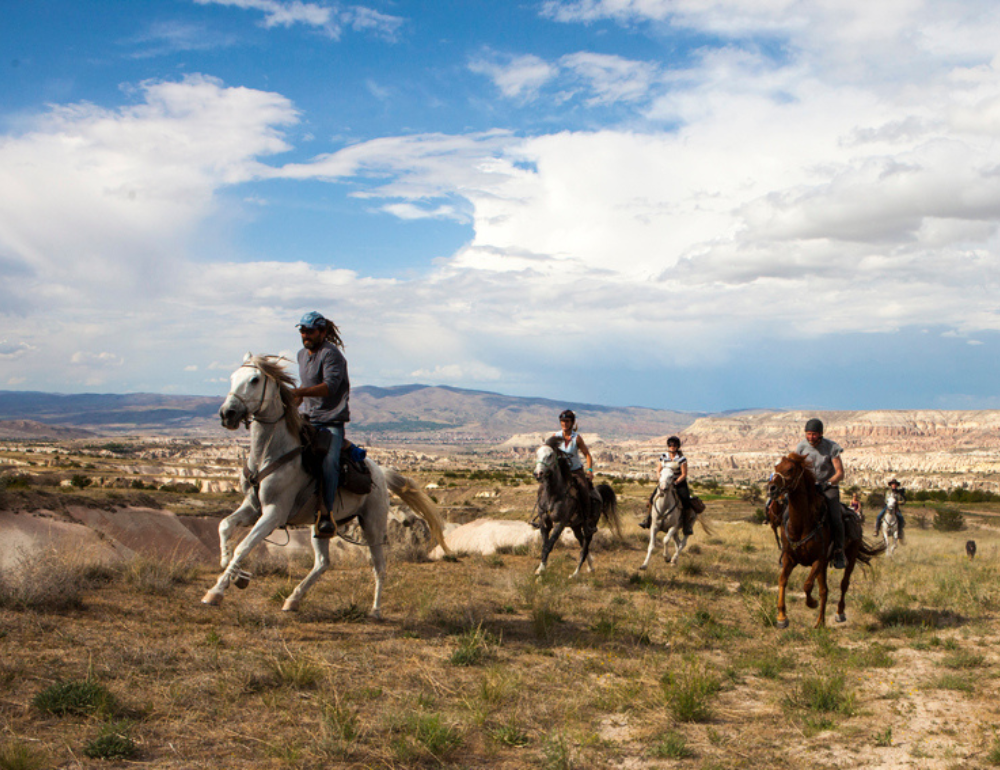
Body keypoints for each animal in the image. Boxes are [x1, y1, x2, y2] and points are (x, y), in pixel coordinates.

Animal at [203, 352, 450, 616]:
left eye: (255, 379)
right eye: (232, 377)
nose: (227, 413)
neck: (268, 454)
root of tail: (381, 472)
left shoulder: (274, 513)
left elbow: (244, 546)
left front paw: (216, 591)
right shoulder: (252, 508)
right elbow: (225, 526)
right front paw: (232, 570)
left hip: (373, 525)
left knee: (379, 566)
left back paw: (375, 610)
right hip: (320, 525)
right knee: (323, 563)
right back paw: (293, 599)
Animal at [532, 440, 616, 572]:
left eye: (550, 455)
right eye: (536, 454)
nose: (538, 473)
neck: (552, 495)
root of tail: (598, 491)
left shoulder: (560, 523)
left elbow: (549, 544)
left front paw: (540, 571)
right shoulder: (544, 522)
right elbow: (545, 545)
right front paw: (541, 568)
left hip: (591, 524)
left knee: (585, 545)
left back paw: (576, 573)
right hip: (575, 525)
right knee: (582, 542)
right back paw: (590, 567)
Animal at [768, 452, 888, 628]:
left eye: (790, 469)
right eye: (776, 467)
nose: (771, 488)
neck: (802, 524)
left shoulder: (819, 559)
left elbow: (807, 585)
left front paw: (812, 603)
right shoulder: (790, 558)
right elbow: (782, 580)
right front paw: (782, 617)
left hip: (850, 557)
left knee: (844, 584)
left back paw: (839, 613)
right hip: (824, 566)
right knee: (824, 590)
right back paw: (820, 622)